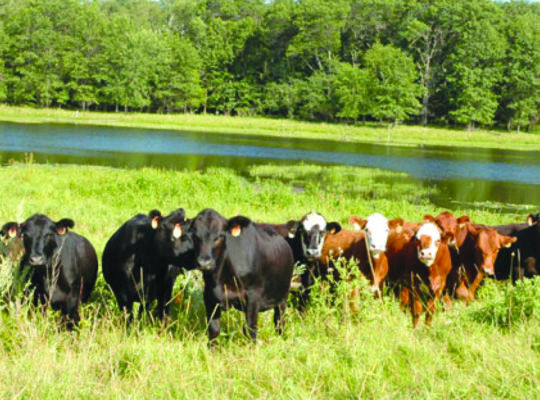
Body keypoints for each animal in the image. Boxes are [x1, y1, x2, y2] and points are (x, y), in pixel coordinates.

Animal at [190, 209, 294, 344]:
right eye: (194, 236)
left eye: (220, 236)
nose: (204, 263)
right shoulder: (209, 296)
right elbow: (214, 330)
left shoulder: (253, 297)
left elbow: (251, 330)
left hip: (282, 297)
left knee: (279, 321)